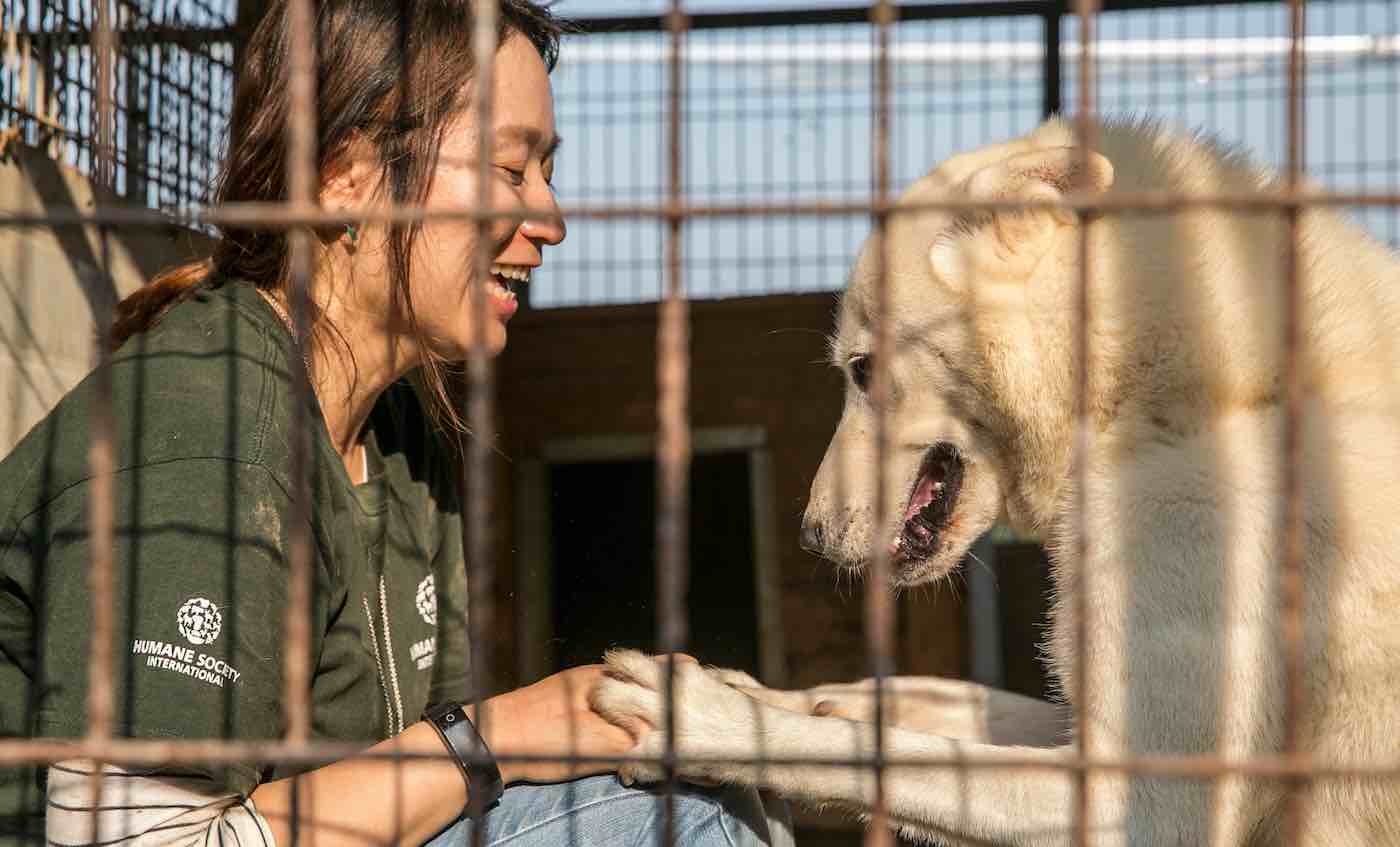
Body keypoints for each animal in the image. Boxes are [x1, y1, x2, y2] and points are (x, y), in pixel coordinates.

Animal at [596, 120, 1400, 845]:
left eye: (863, 371)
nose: (809, 536)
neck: (1158, 400)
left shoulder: (1140, 803)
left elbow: (879, 754)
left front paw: (709, 715)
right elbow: (947, 701)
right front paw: (788, 694)